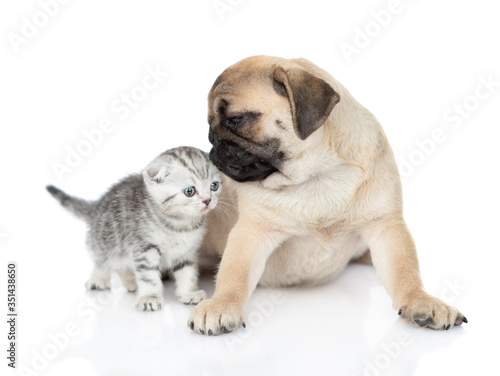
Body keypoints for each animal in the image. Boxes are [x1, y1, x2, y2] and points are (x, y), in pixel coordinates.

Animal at [46, 147, 222, 312]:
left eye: (214, 186)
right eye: (190, 191)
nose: (207, 200)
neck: (179, 224)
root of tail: (96, 206)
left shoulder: (185, 250)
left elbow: (187, 272)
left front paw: (188, 293)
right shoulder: (144, 247)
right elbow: (148, 276)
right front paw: (150, 297)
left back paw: (131, 282)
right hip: (106, 239)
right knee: (103, 260)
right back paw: (99, 278)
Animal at [188, 55, 464, 334]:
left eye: (236, 119)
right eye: (210, 125)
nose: (213, 144)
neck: (317, 174)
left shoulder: (386, 226)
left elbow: (405, 270)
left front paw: (421, 301)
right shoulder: (251, 233)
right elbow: (235, 274)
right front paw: (221, 304)